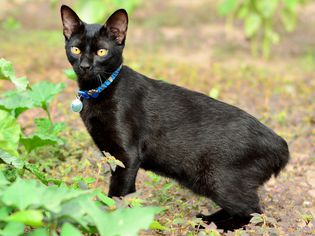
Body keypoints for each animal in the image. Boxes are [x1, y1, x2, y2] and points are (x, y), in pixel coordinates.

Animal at [60, 6, 290, 232]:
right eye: (76, 50)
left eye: (102, 52)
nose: (85, 66)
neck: (98, 90)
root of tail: (280, 143)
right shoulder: (115, 157)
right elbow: (128, 195)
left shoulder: (127, 156)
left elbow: (117, 196)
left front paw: (109, 221)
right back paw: (204, 220)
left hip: (218, 180)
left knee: (255, 214)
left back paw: (213, 226)